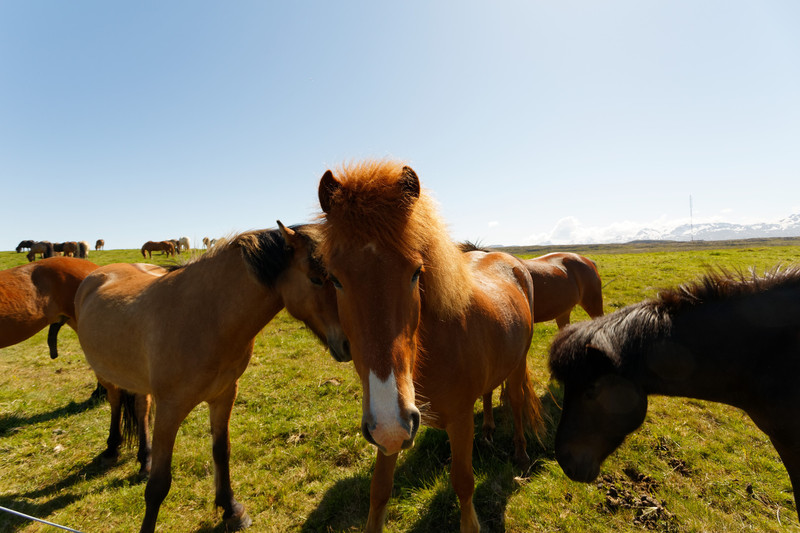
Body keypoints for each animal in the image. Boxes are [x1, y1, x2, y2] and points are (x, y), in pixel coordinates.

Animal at [75, 222, 347, 533]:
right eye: (316, 279)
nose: (348, 344)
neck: (207, 316)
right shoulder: (170, 409)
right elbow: (158, 485)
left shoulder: (224, 395)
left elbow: (221, 451)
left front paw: (231, 509)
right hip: (106, 374)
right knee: (116, 402)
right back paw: (112, 449)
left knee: (141, 409)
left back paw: (144, 459)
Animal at [317, 160, 544, 532]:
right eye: (334, 279)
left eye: (416, 272)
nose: (391, 423)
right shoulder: (389, 427)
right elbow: (379, 490)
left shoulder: (456, 422)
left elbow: (463, 482)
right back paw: (489, 430)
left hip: (518, 363)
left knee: (516, 399)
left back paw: (521, 453)